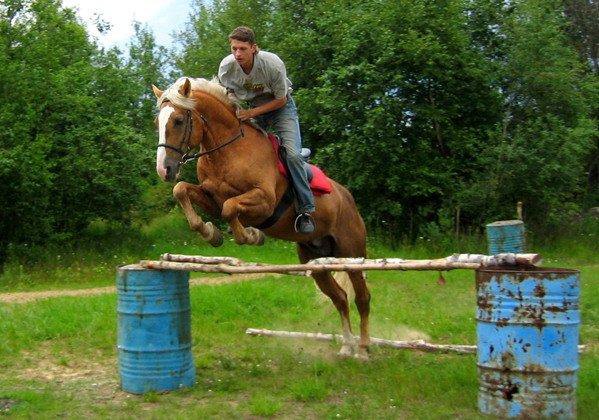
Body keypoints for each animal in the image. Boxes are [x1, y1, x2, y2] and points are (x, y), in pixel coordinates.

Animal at [151, 77, 370, 360]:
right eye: (157, 122)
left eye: (178, 120)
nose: (164, 169)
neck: (228, 150)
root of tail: (348, 198)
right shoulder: (211, 197)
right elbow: (183, 191)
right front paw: (211, 233)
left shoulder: (264, 202)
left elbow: (230, 208)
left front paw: (252, 235)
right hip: (315, 260)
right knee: (340, 297)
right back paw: (346, 346)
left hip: (352, 253)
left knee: (362, 298)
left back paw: (363, 350)